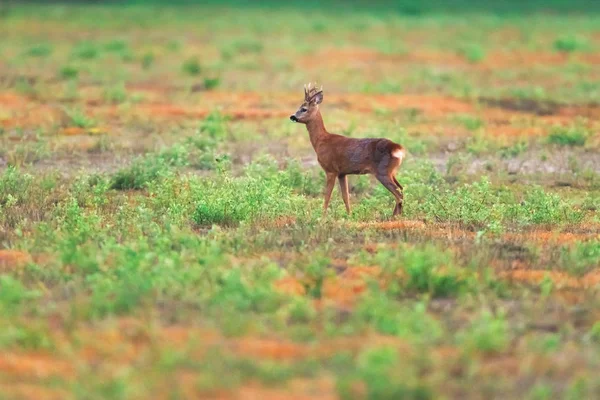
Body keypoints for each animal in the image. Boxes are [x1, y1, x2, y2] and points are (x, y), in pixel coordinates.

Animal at [290, 82, 406, 217]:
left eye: (304, 108)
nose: (292, 116)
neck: (321, 141)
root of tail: (397, 148)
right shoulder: (342, 173)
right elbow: (346, 196)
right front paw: (349, 215)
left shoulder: (331, 170)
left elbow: (327, 196)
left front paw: (322, 216)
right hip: (391, 171)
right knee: (401, 189)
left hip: (383, 171)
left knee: (398, 194)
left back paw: (394, 217)